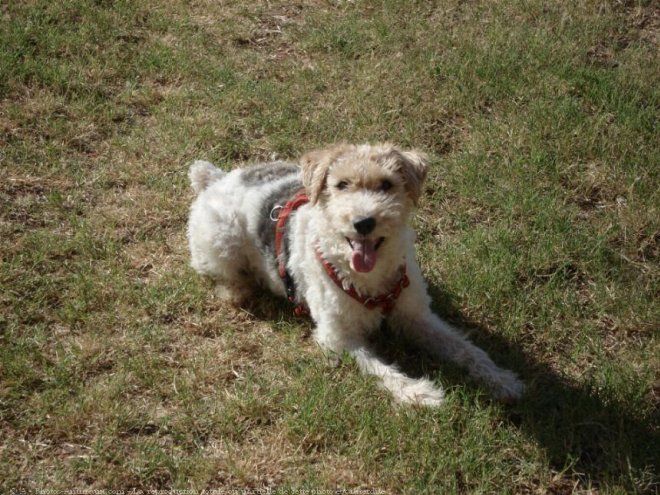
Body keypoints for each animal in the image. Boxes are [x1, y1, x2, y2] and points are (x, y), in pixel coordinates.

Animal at [188, 143, 524, 406]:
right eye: (341, 184)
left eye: (387, 184)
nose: (363, 222)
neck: (370, 280)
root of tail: (217, 178)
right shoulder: (338, 337)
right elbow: (383, 370)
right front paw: (421, 394)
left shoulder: (416, 316)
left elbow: (466, 350)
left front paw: (503, 380)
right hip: (221, 242)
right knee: (222, 275)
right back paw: (237, 291)